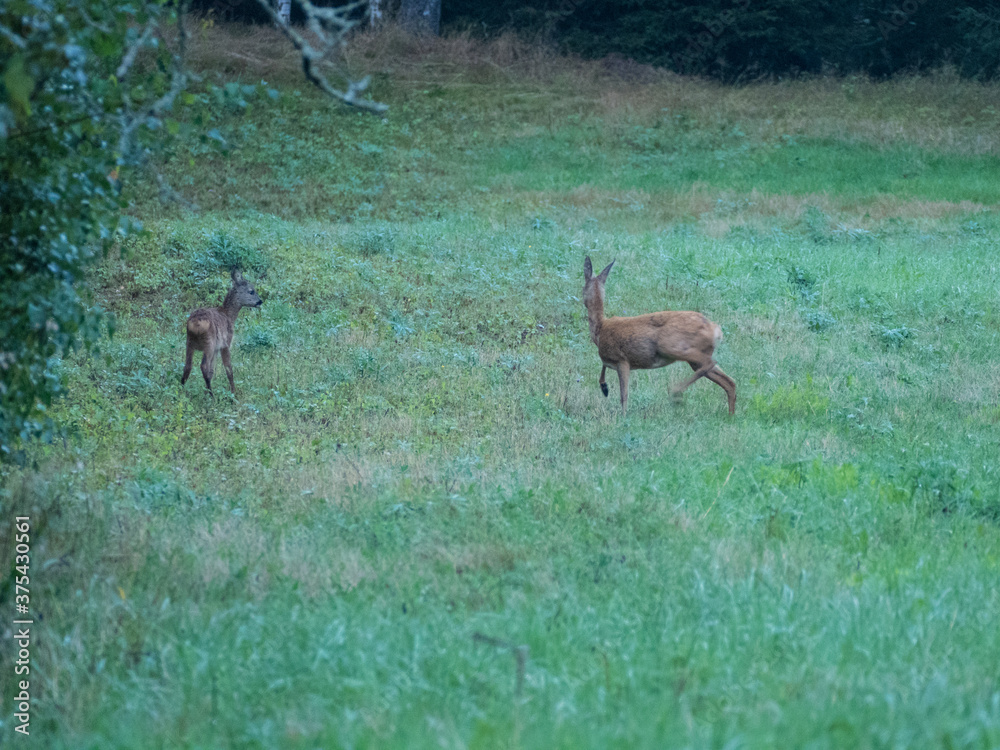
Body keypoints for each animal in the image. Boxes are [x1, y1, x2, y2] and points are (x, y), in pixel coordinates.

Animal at [182, 270, 262, 400]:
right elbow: (229, 369)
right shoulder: (225, 343)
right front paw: (233, 393)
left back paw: (182, 390)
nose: (260, 301)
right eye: (251, 291)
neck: (228, 315)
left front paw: (205, 392)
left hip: (189, 342)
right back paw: (212, 396)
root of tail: (196, 324)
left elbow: (212, 371)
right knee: (203, 366)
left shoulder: (216, 349)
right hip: (209, 343)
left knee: (188, 366)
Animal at [584, 258, 740, 418]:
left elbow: (624, 394)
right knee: (729, 381)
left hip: (671, 346)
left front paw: (623, 416)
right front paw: (604, 387)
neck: (600, 329)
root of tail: (715, 330)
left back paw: (676, 393)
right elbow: (604, 371)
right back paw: (730, 415)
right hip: (695, 358)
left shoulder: (622, 360)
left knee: (711, 363)